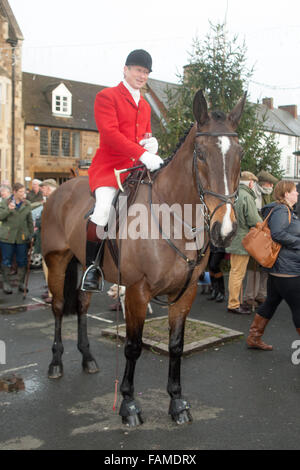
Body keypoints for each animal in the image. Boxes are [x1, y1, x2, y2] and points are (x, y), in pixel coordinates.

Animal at [41, 90, 246, 428]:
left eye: (239, 154)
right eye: (201, 155)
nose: (225, 230)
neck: (174, 217)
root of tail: (59, 189)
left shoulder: (186, 292)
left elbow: (176, 346)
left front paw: (177, 403)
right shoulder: (137, 291)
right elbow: (133, 347)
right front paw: (129, 405)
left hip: (83, 266)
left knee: (82, 306)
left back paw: (88, 358)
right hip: (56, 260)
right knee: (58, 308)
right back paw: (56, 362)